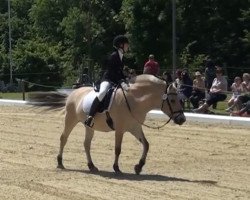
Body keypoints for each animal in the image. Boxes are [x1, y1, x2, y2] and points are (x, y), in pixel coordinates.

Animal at [28, 74, 186, 174]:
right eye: (172, 100)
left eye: (180, 99)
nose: (182, 119)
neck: (134, 100)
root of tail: (73, 92)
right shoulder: (120, 129)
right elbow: (118, 149)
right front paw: (116, 167)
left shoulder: (134, 127)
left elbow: (146, 145)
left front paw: (138, 167)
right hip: (70, 119)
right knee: (63, 138)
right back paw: (60, 163)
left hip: (89, 126)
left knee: (86, 144)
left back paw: (92, 166)